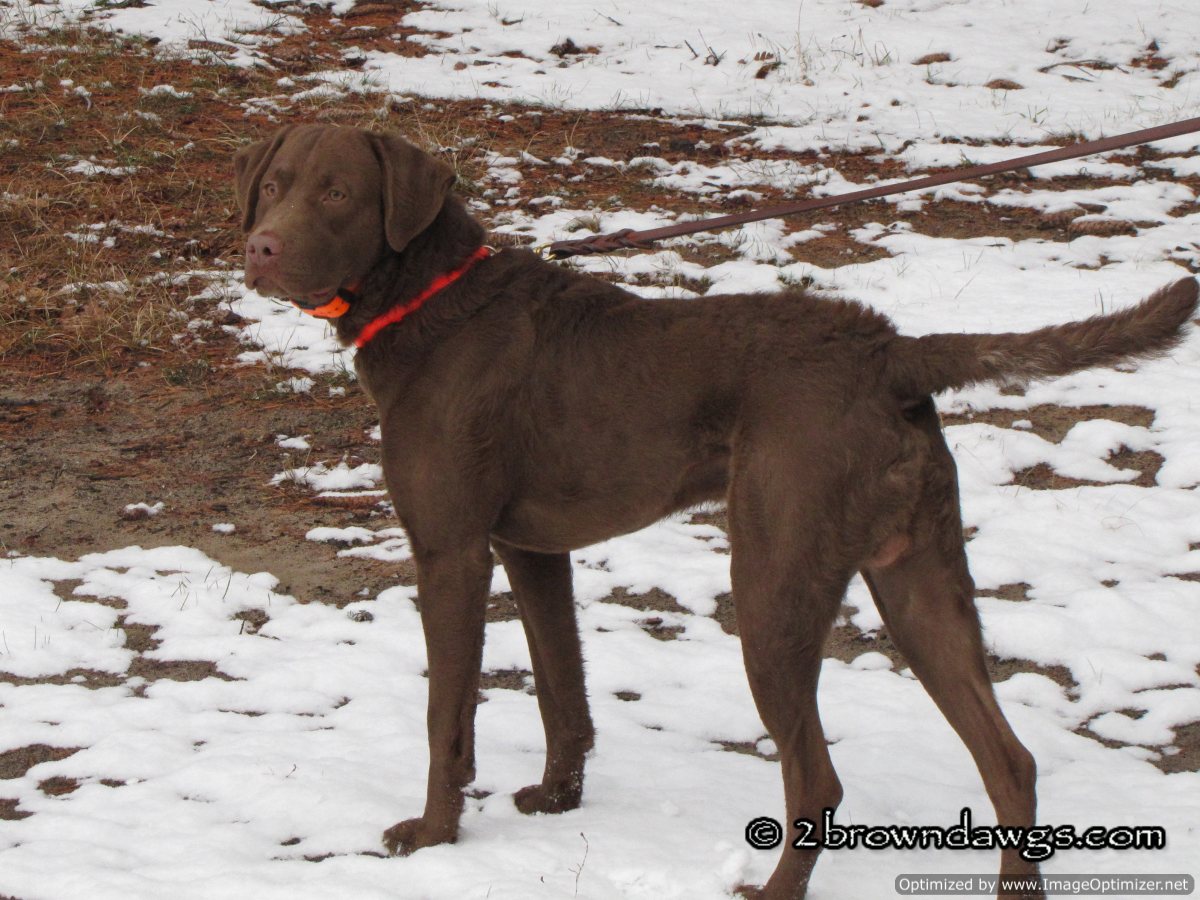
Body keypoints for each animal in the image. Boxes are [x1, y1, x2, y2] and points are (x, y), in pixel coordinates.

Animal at [234, 123, 1197, 899]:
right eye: (274, 185)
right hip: (918, 583)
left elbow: (447, 717)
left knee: (819, 781)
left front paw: (433, 836)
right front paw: (558, 800)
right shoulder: (533, 551)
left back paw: (771, 891)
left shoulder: (452, 551)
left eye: (338, 193)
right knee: (1011, 762)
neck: (429, 298)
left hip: (772, 589)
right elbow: (561, 689)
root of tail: (890, 350)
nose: (260, 249)